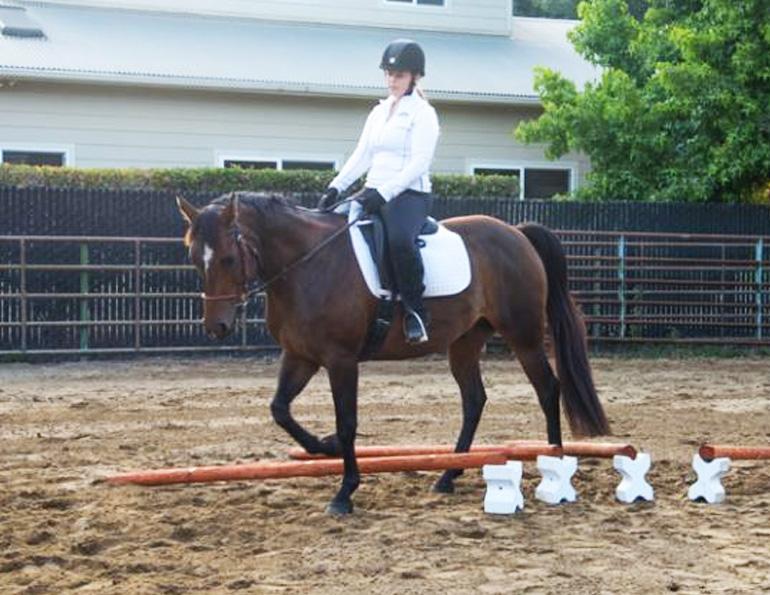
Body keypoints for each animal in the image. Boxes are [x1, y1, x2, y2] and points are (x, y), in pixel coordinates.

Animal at [176, 192, 610, 515]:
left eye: (229, 258)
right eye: (194, 258)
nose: (216, 327)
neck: (306, 264)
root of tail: (516, 232)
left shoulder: (340, 360)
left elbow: (347, 421)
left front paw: (344, 492)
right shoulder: (300, 356)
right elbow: (280, 409)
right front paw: (325, 447)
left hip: (524, 336)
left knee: (548, 389)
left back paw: (555, 466)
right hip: (465, 342)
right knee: (474, 400)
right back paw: (447, 477)